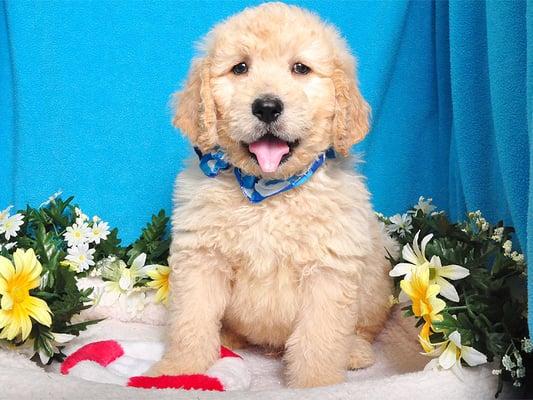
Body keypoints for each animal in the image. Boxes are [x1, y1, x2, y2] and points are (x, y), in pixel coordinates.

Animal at [148, 2, 392, 388]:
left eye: (300, 68)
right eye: (240, 68)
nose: (266, 107)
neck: (268, 193)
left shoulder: (328, 272)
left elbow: (320, 337)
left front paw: (317, 385)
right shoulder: (201, 259)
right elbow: (190, 321)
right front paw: (178, 370)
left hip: (374, 281)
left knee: (364, 329)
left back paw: (354, 352)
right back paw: (227, 337)